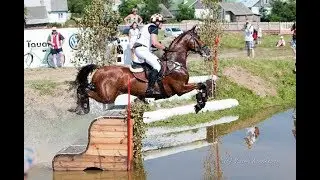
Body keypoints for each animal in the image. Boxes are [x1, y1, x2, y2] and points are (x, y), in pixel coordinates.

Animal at [72, 25, 212, 114]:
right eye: (198, 38)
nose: (207, 51)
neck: (175, 63)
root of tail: (100, 70)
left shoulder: (182, 86)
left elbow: (202, 85)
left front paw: (200, 102)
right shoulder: (180, 88)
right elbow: (201, 85)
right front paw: (200, 104)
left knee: (84, 88)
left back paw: (82, 106)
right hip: (107, 96)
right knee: (84, 90)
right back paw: (82, 108)